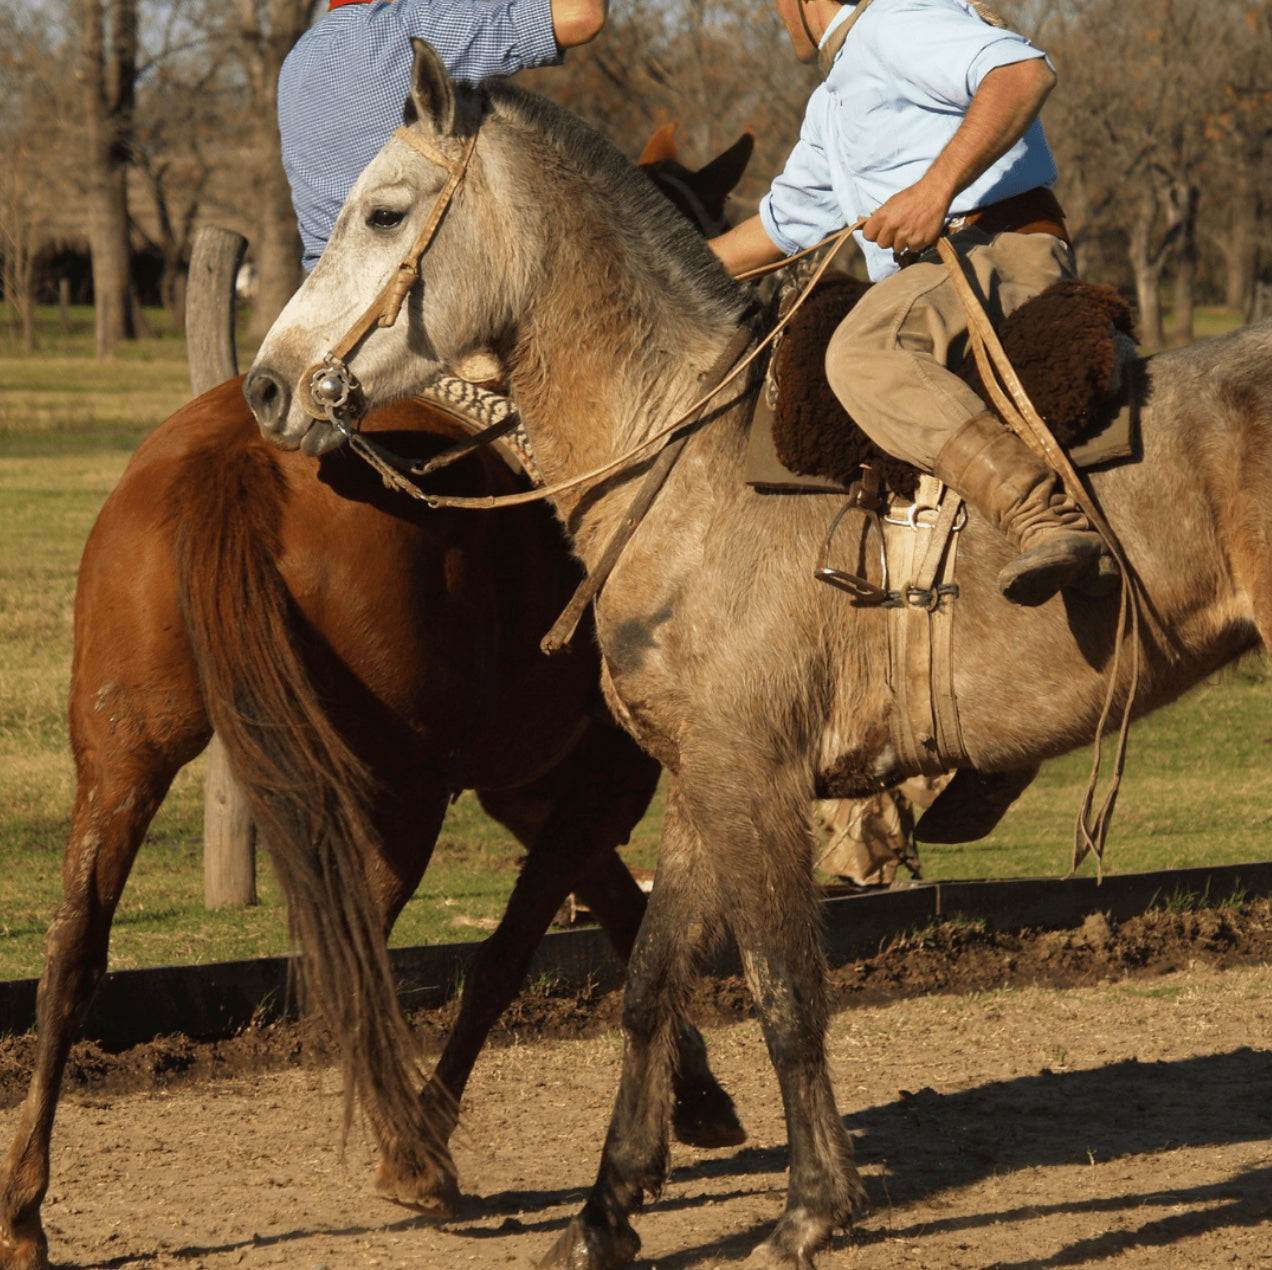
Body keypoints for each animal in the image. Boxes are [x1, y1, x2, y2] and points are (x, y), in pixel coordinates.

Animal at [0, 126, 753, 1270]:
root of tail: (226, 455)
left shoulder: (537, 788)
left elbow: (618, 911)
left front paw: (700, 1097)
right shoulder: (598, 777)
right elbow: (518, 948)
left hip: (123, 757)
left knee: (74, 951)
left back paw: (24, 1206)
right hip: (395, 794)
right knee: (354, 946)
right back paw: (414, 1150)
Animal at [242, 39, 1272, 1270]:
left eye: (387, 211)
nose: (268, 385)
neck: (680, 455)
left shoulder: (759, 776)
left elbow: (784, 991)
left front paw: (809, 1208)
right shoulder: (702, 778)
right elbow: (652, 981)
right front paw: (605, 1211)